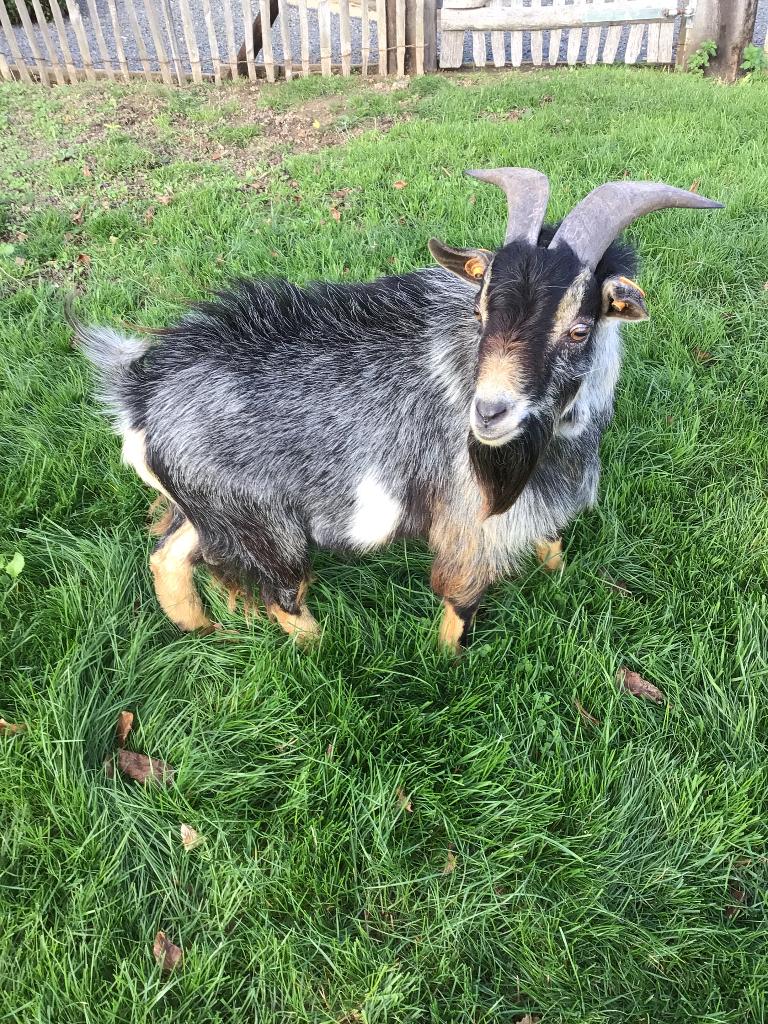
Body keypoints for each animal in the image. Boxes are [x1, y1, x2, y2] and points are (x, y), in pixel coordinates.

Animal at [71, 169, 722, 652]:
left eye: (581, 328)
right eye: (481, 309)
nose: (488, 414)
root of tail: (139, 394)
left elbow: (551, 544)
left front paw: (556, 572)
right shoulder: (466, 521)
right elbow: (461, 602)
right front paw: (446, 664)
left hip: (210, 510)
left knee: (167, 554)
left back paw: (200, 629)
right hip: (264, 524)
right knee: (284, 599)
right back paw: (323, 648)